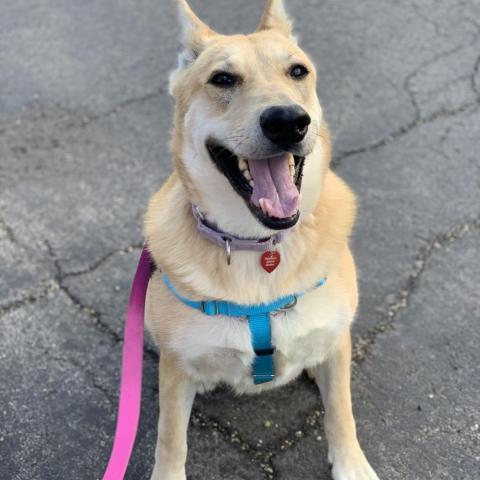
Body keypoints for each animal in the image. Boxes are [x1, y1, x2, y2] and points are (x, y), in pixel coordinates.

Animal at [144, 1, 380, 478]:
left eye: (298, 71)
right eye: (222, 79)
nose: (288, 121)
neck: (261, 246)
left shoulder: (337, 345)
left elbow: (341, 412)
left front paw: (351, 464)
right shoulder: (175, 371)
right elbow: (170, 439)